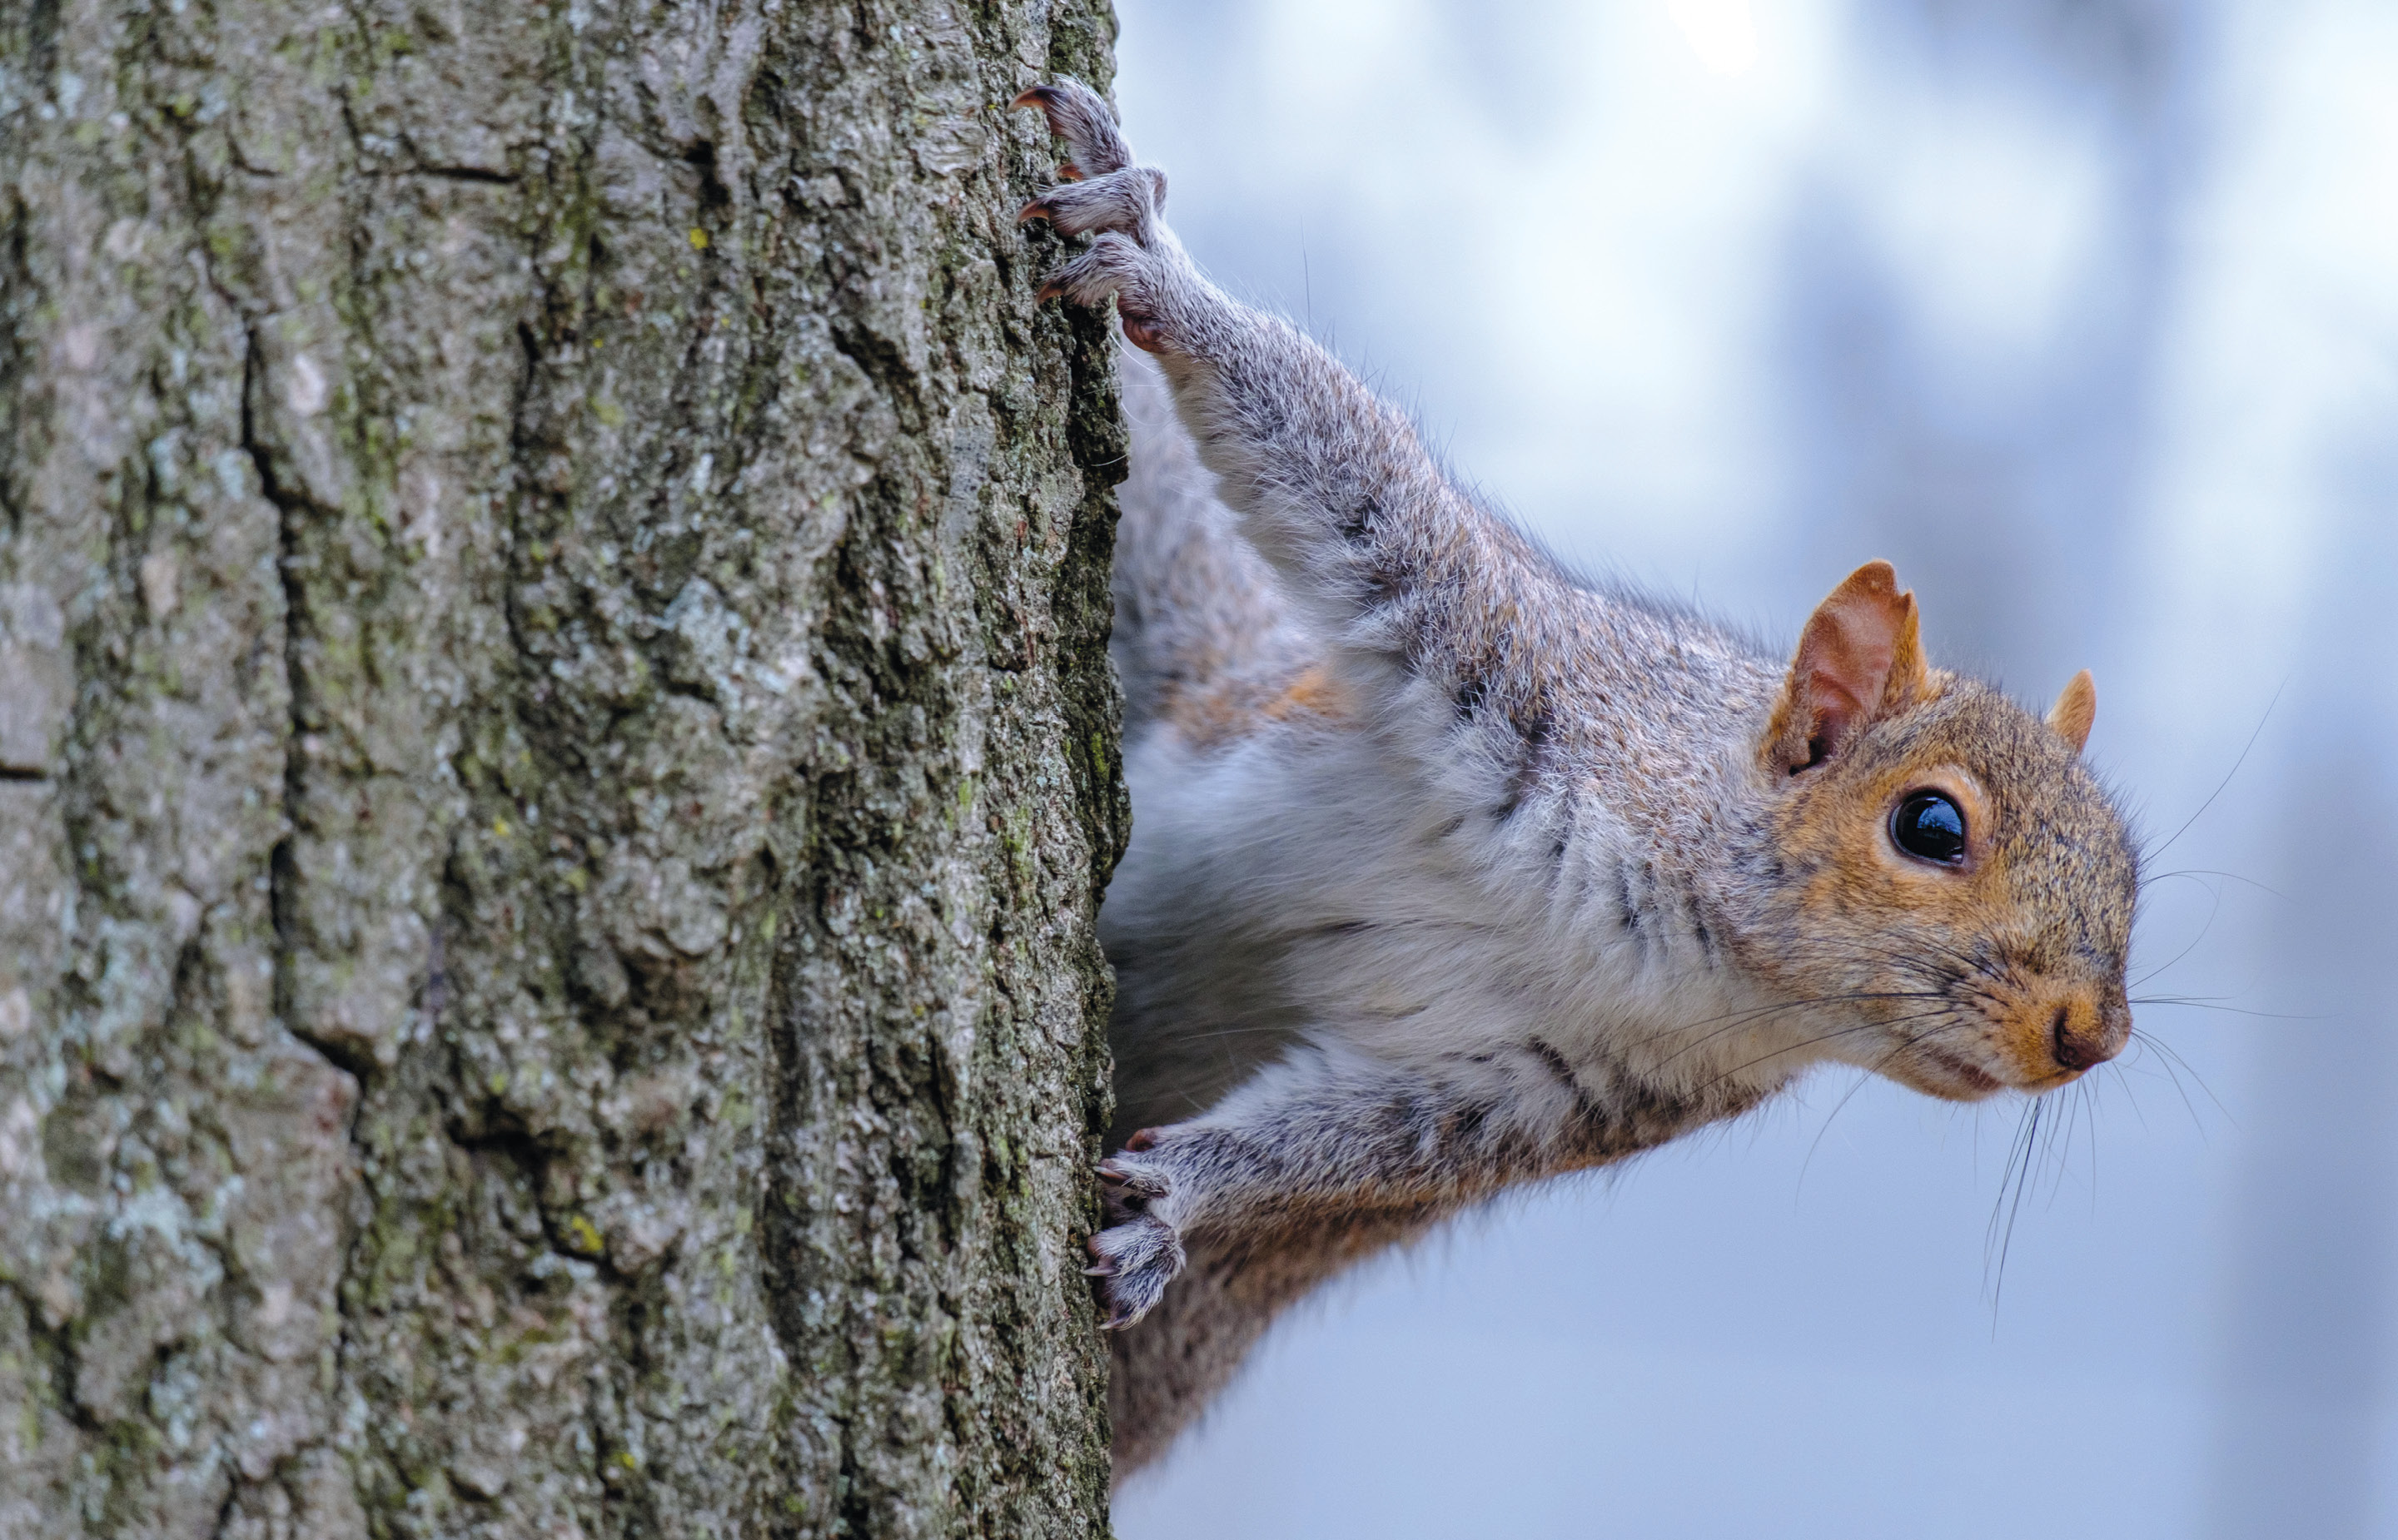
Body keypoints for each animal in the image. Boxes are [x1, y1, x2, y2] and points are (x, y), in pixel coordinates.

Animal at [1013, 79, 2141, 1478]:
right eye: (1931, 824)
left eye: (2134, 872)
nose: (2090, 1036)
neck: (1685, 949)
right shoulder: (1509, 661)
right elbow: (1339, 457)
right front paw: (1152, 259)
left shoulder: (1551, 1093)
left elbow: (1344, 1152)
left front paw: (1177, 1198)